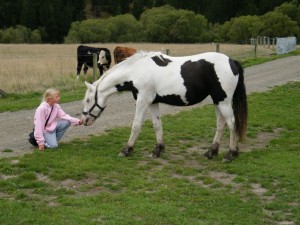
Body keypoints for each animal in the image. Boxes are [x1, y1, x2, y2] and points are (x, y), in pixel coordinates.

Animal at [82, 51, 248, 162]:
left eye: (88, 100)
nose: (84, 121)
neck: (136, 71)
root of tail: (231, 61)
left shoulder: (142, 101)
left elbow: (136, 125)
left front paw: (127, 150)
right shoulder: (153, 102)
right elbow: (157, 125)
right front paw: (158, 150)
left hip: (223, 102)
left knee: (232, 124)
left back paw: (231, 154)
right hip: (217, 101)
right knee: (221, 124)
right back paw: (211, 152)